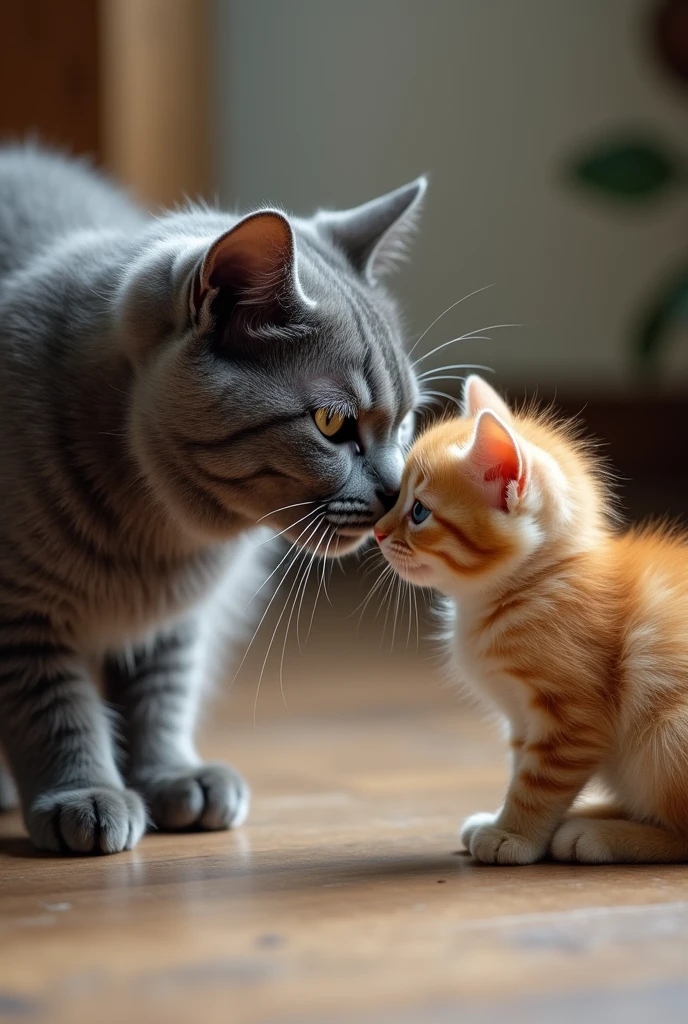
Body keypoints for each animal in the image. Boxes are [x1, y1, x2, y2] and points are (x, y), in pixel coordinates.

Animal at [0, 140, 423, 851]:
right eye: (332, 424)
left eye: (407, 421)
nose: (396, 492)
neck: (157, 537)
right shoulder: (21, 615)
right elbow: (54, 711)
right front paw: (84, 794)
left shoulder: (176, 623)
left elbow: (160, 698)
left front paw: (173, 777)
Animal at [376, 376, 688, 864]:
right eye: (395, 499)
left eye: (419, 511)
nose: (377, 532)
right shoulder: (522, 721)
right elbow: (519, 769)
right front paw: (500, 820)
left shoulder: (573, 719)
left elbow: (537, 783)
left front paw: (512, 835)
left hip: (668, 734)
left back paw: (600, 834)